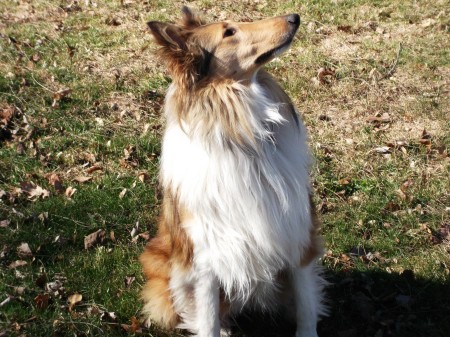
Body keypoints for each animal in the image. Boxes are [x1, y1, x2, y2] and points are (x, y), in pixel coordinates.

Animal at [139, 5, 326, 336]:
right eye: (229, 32)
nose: (294, 18)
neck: (244, 138)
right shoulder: (206, 260)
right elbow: (208, 319)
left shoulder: (297, 236)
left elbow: (306, 306)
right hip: (162, 262)